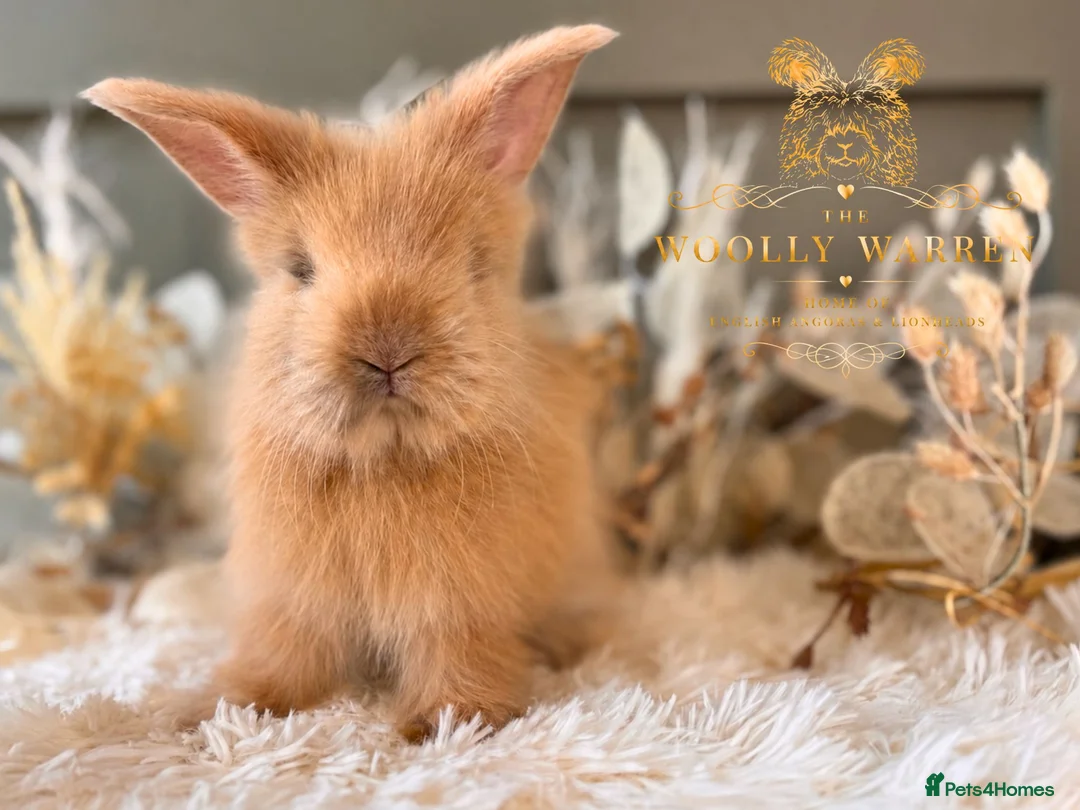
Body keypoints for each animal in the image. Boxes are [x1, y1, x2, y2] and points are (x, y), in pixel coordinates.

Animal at [84, 24, 620, 741]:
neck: (383, 457)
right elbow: (281, 656)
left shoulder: (461, 605)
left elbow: (459, 651)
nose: (387, 351)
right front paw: (219, 708)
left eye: (472, 263)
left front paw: (447, 721)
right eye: (300, 269)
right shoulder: (292, 595)